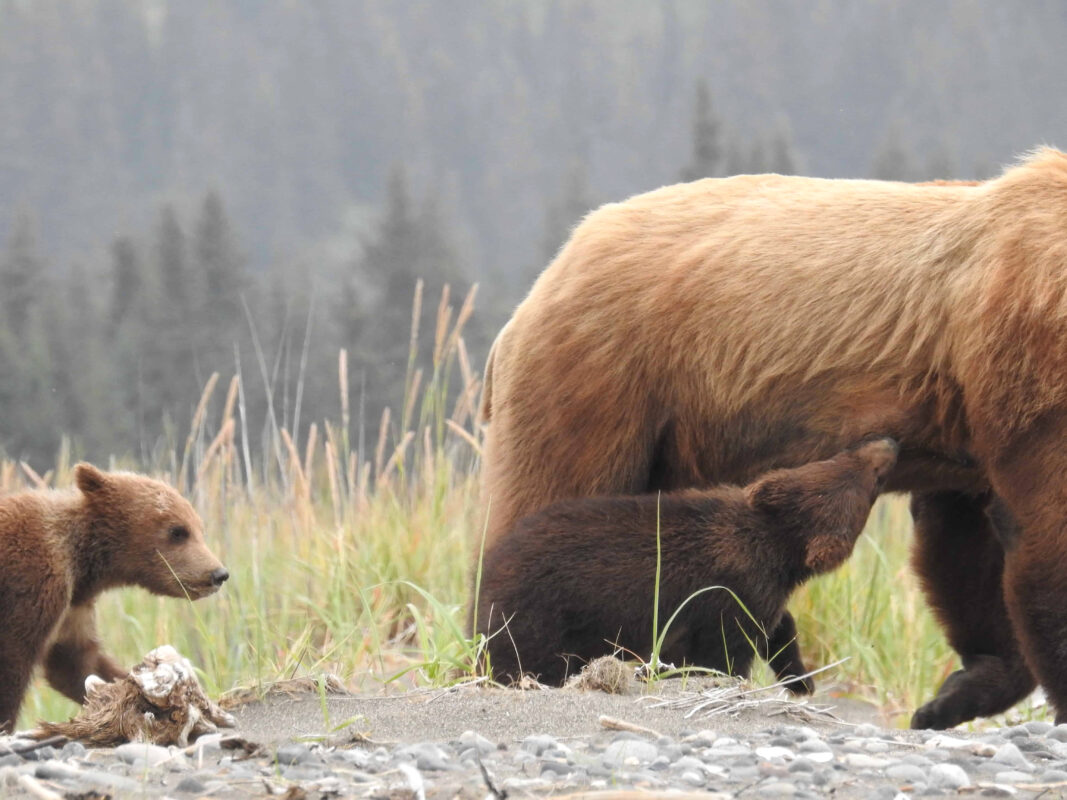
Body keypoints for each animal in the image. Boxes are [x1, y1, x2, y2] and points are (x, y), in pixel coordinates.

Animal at [0, 463, 228, 733]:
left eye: (199, 529)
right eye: (178, 531)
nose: (218, 574)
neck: (82, 565)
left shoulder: (74, 608)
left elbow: (77, 664)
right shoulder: (31, 584)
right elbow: (13, 660)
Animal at [475, 439, 897, 687]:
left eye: (845, 456)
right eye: (871, 484)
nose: (889, 442)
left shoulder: (761, 594)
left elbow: (779, 628)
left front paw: (799, 677)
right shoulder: (731, 596)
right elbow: (723, 651)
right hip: (540, 615)